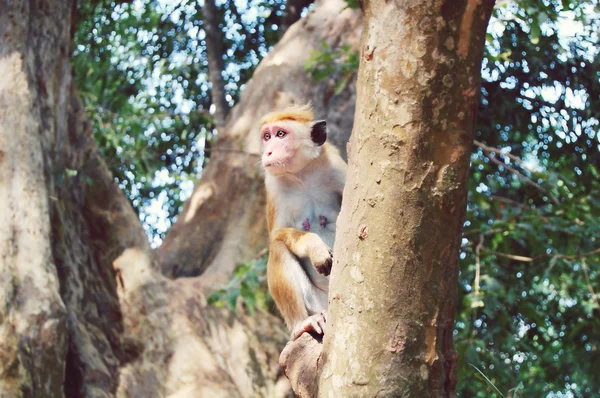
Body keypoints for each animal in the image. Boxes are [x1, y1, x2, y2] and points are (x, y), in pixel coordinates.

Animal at [258, 103, 346, 338]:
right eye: (267, 136)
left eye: (280, 134)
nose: (268, 152)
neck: (302, 174)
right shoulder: (273, 186)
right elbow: (277, 235)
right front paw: (313, 245)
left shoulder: (336, 167)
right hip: (317, 303)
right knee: (278, 249)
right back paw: (302, 323)